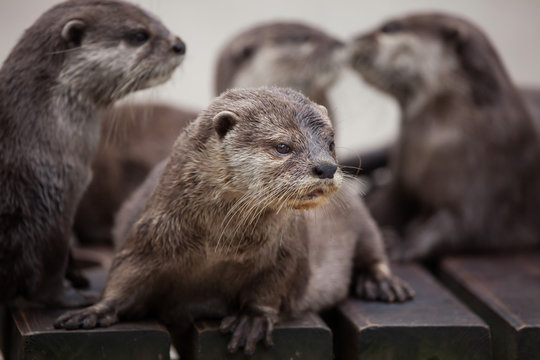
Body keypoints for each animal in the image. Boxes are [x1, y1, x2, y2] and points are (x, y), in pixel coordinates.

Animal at [0, 0, 186, 306]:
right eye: (139, 35)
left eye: (159, 22)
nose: (179, 45)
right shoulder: (50, 195)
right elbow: (50, 261)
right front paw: (70, 296)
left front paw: (77, 277)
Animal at [54, 86, 414, 354]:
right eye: (283, 146)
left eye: (331, 143)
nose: (326, 167)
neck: (218, 247)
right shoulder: (149, 235)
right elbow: (124, 275)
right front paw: (95, 310)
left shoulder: (288, 250)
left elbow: (273, 285)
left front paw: (252, 319)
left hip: (359, 217)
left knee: (372, 249)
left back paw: (382, 283)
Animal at [346, 13, 540, 262]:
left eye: (390, 27)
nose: (354, 37)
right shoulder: (401, 179)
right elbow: (384, 204)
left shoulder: (487, 187)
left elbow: (460, 227)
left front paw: (398, 245)